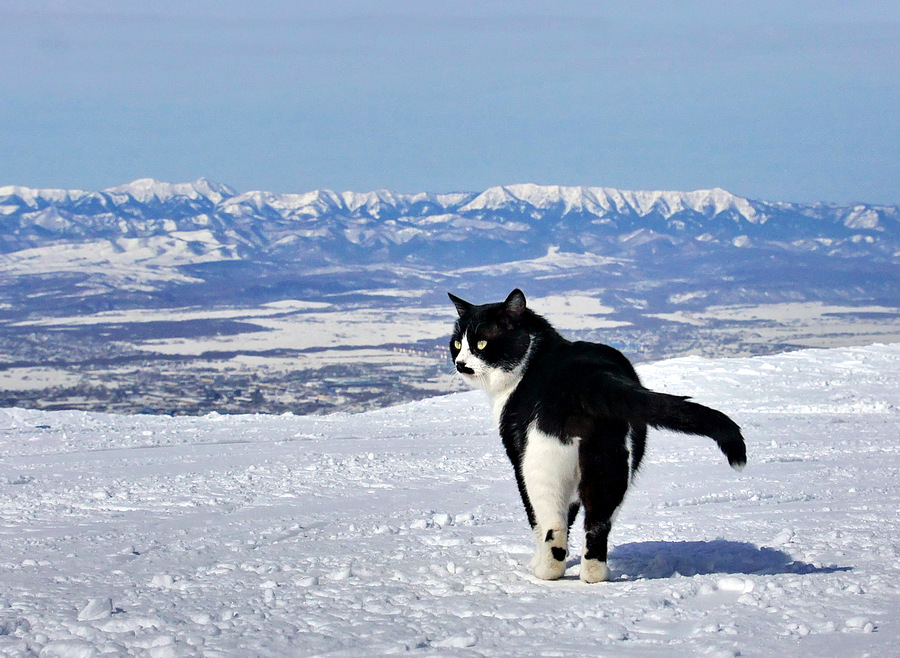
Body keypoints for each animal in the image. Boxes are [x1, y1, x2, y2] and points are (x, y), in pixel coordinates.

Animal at [448, 288, 744, 580]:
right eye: (457, 344)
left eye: (482, 344)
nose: (460, 363)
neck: (533, 356)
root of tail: (592, 377)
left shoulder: (517, 457)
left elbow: (537, 522)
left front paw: (535, 561)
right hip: (611, 462)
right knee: (597, 524)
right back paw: (594, 574)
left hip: (543, 463)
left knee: (553, 524)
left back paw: (546, 572)